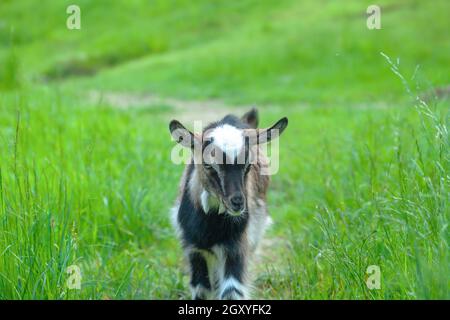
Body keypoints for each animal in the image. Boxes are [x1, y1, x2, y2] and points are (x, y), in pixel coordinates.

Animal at [169, 109, 288, 298]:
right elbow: (200, 288)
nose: (238, 203)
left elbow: (232, 290)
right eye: (208, 165)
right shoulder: (194, 249)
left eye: (248, 165)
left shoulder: (236, 247)